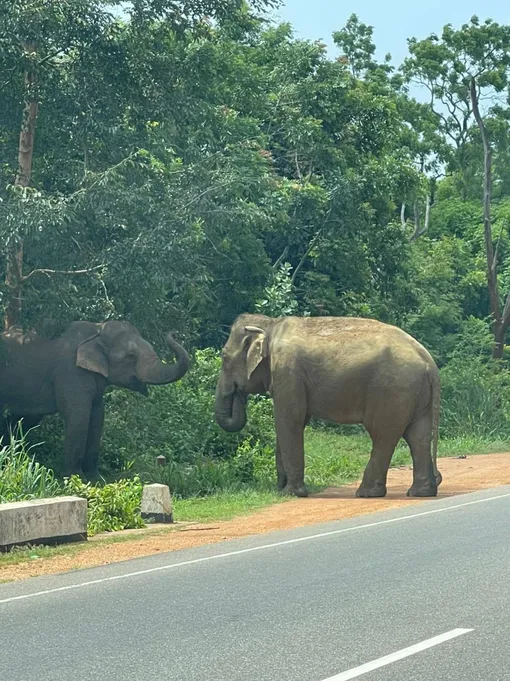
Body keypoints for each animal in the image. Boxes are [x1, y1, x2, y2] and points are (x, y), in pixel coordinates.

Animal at [0, 320, 188, 476]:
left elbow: (97, 418)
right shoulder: (71, 375)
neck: (96, 331)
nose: (174, 333)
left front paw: (95, 478)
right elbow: (79, 418)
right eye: (131, 356)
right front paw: (75, 478)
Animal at [213, 314, 440, 500]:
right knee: (418, 436)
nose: (238, 394)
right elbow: (291, 423)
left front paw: (291, 493)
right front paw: (280, 489)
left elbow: (290, 420)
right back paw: (421, 492)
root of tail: (430, 363)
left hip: (392, 391)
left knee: (383, 435)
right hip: (415, 394)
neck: (271, 324)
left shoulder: (287, 372)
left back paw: (366, 494)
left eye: (224, 357)